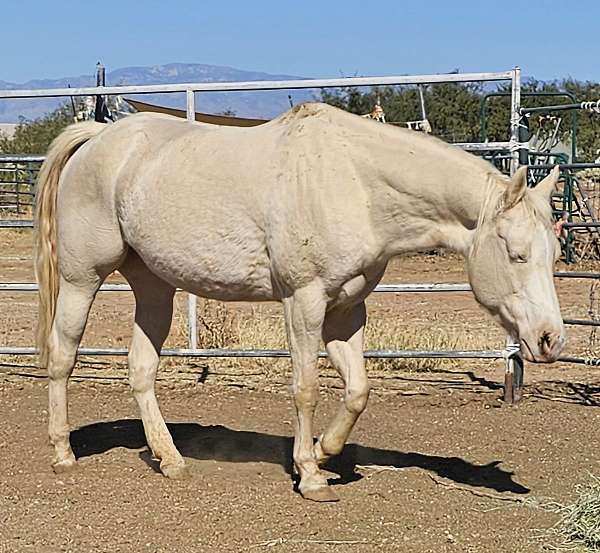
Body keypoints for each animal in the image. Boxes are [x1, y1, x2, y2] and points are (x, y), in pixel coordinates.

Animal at [35, 102, 564, 500]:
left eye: (554, 252)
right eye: (516, 253)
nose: (550, 340)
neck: (354, 181)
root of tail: (98, 139)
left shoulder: (345, 311)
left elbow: (357, 390)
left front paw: (327, 452)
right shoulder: (303, 302)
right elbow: (305, 388)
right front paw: (309, 474)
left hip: (154, 288)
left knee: (141, 369)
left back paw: (170, 459)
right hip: (82, 280)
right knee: (62, 356)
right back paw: (63, 453)